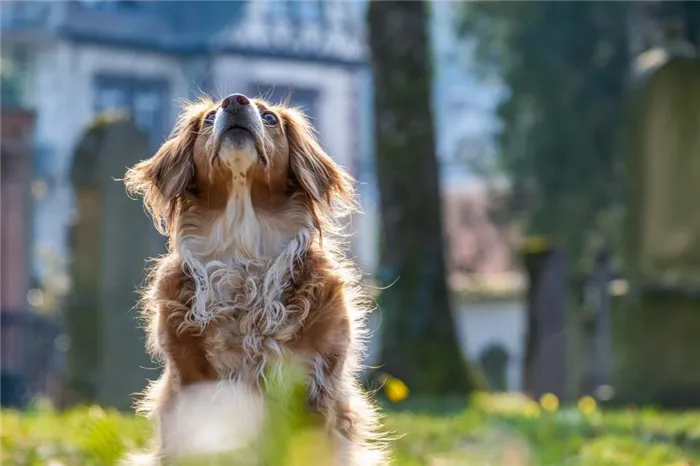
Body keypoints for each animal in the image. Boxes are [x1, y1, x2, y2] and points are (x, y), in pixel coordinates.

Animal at [124, 93, 388, 464]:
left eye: (270, 118)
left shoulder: (314, 386)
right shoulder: (193, 384)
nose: (234, 101)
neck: (243, 248)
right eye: (208, 118)